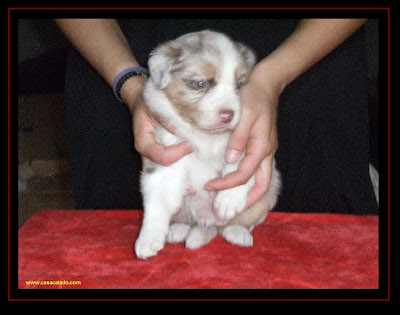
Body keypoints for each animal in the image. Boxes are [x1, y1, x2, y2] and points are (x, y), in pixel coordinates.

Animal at [134, 30, 282, 260]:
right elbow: (158, 200)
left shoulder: (244, 139)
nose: (228, 115)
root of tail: (208, 223)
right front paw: (148, 239)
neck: (205, 135)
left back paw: (237, 232)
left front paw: (229, 199)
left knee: (238, 224)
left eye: (239, 85)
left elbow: (239, 165)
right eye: (201, 84)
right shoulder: (167, 154)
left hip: (268, 194)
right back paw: (178, 229)